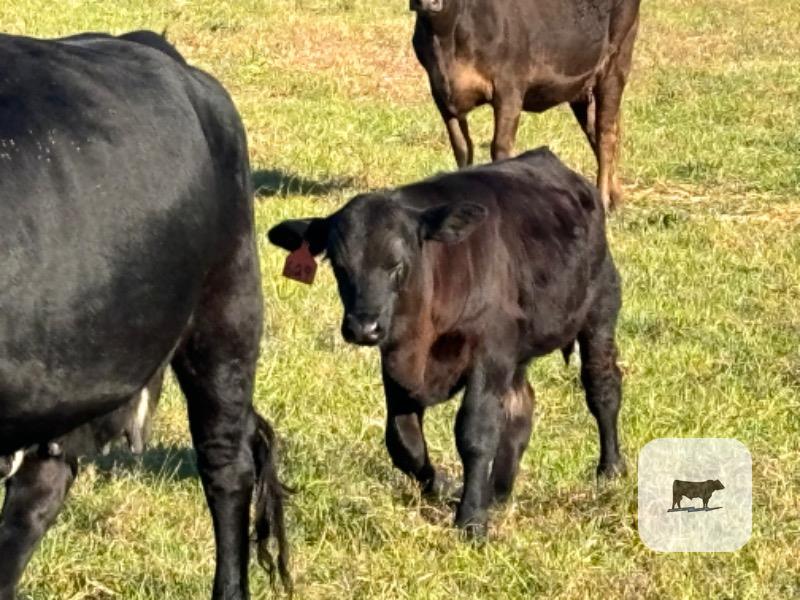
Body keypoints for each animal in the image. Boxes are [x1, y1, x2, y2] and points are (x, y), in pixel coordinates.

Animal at [268, 147, 625, 536]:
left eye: (397, 264)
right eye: (338, 264)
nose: (364, 327)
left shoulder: (489, 351)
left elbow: (475, 432)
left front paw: (471, 519)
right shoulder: (397, 359)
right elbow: (402, 440)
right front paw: (442, 487)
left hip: (601, 308)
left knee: (602, 388)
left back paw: (610, 469)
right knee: (520, 407)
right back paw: (498, 493)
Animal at [409, 0, 641, 211]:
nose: (429, 3)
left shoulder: (509, 86)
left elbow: (500, 147)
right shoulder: (442, 95)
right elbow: (462, 148)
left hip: (616, 62)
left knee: (606, 135)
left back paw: (604, 200)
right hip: (582, 86)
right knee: (598, 131)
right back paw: (616, 198)